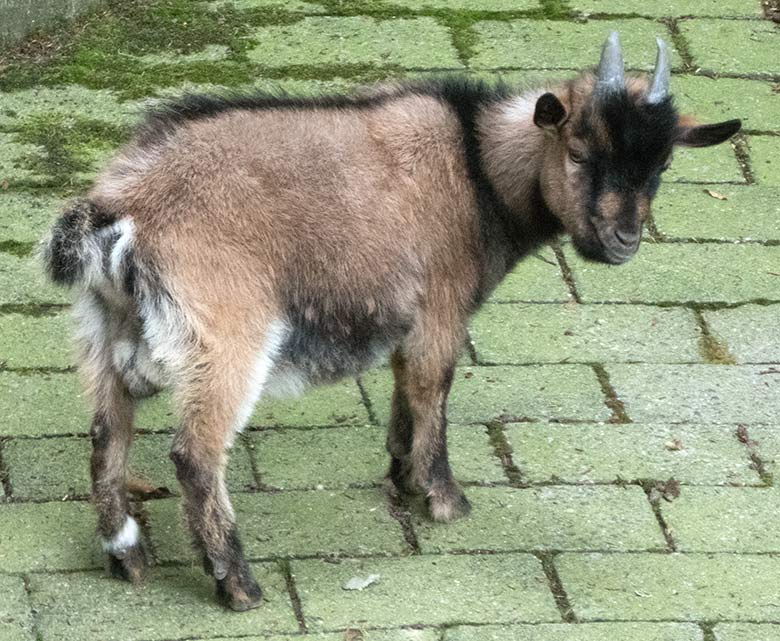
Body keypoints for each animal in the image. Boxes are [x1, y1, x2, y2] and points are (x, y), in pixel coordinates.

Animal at [41, 31, 736, 608]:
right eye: (581, 151)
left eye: (662, 165)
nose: (624, 241)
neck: (476, 166)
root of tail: (120, 209)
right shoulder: (440, 312)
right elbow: (433, 393)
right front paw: (444, 499)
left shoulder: (408, 322)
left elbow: (405, 393)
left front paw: (402, 475)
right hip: (225, 337)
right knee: (194, 455)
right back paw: (237, 584)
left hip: (103, 328)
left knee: (106, 433)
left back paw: (128, 556)